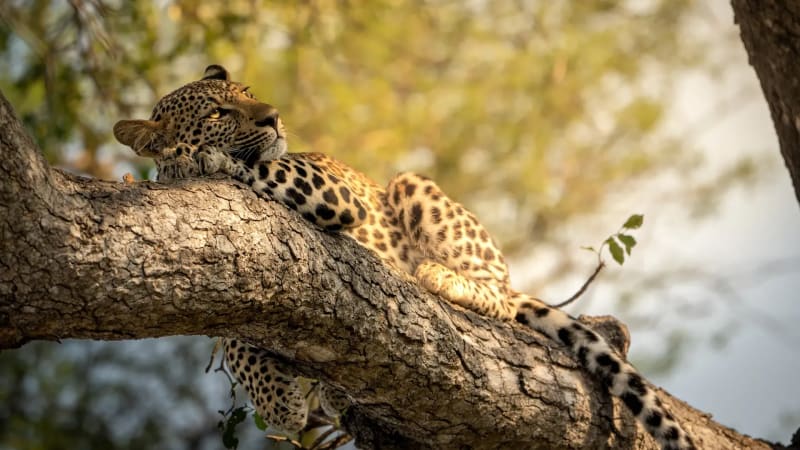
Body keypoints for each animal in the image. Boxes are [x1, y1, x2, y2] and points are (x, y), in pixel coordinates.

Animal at [113, 65, 696, 450]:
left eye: (250, 94)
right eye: (219, 111)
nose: (275, 117)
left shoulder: (323, 185)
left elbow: (257, 166)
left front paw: (199, 160)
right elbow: (237, 343)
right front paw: (280, 402)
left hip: (412, 186)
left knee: (502, 297)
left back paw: (436, 276)